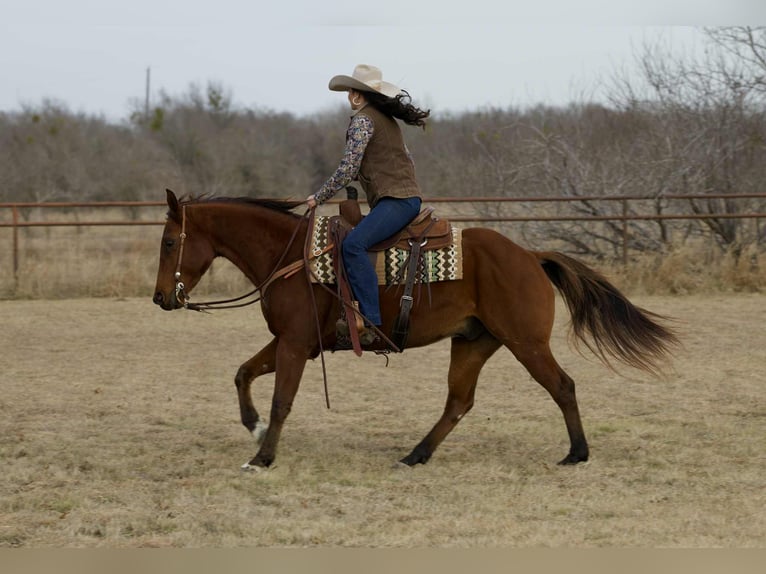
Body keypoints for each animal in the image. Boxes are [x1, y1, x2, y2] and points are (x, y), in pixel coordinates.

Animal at [152, 189, 678, 470]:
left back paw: (577, 453)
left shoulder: (296, 345)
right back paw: (416, 454)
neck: (291, 257)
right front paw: (253, 427)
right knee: (458, 403)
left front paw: (263, 456)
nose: (160, 298)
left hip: (526, 343)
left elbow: (283, 400)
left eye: (169, 241)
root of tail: (529, 256)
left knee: (562, 386)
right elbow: (243, 373)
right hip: (473, 343)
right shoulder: (290, 342)